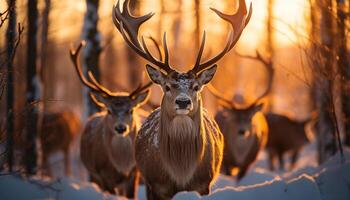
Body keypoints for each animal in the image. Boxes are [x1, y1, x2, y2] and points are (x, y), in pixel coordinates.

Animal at [69, 41, 151, 198]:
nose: (120, 128)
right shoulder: (103, 175)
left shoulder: (134, 174)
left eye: (131, 110)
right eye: (109, 110)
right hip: (93, 173)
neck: (121, 166)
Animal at [112, 0, 252, 198]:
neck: (181, 174)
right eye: (167, 86)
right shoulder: (157, 185)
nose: (183, 102)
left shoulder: (204, 183)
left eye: (196, 87)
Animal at [208, 49, 274, 180]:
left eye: (250, 118)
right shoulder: (226, 161)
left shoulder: (249, 161)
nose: (242, 131)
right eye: (234, 119)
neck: (239, 157)